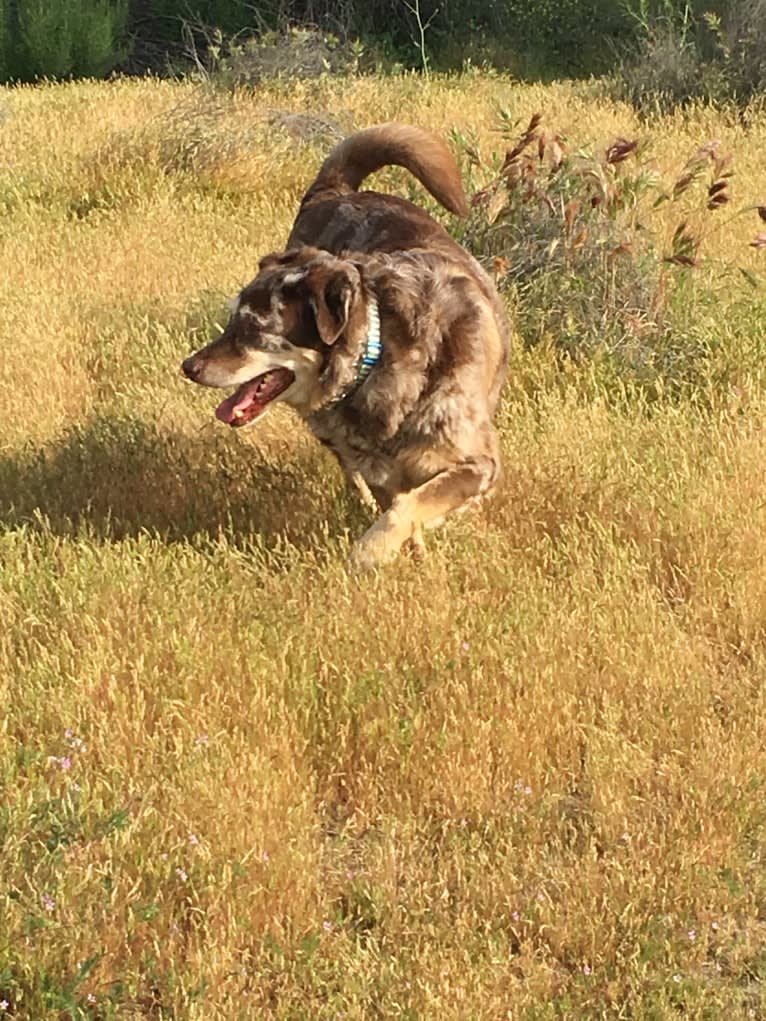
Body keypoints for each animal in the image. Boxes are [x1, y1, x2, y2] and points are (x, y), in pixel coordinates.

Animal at [181, 124, 510, 571]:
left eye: (252, 327)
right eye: (232, 320)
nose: (189, 366)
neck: (379, 353)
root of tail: (333, 192)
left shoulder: (477, 463)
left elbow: (409, 506)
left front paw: (372, 550)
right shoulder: (381, 469)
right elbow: (398, 504)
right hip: (330, 434)